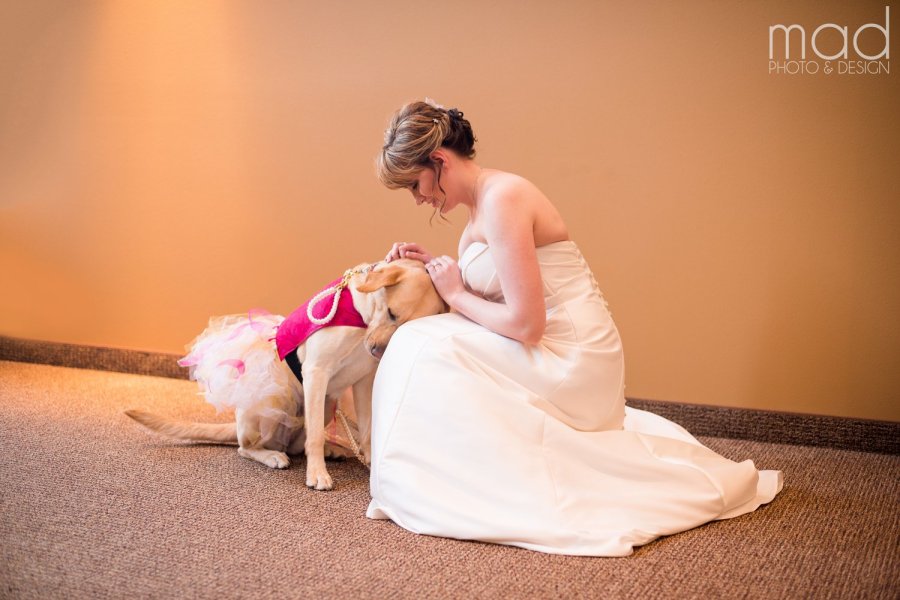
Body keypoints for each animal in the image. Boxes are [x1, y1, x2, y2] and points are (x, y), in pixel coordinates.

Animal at [126, 258, 446, 488]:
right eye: (391, 313)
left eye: (403, 325)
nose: (377, 351)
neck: (361, 318)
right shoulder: (316, 371)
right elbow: (314, 436)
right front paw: (317, 475)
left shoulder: (364, 383)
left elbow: (366, 431)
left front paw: (369, 465)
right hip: (275, 403)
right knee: (249, 448)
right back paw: (272, 455)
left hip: (327, 405)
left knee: (297, 443)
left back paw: (333, 450)